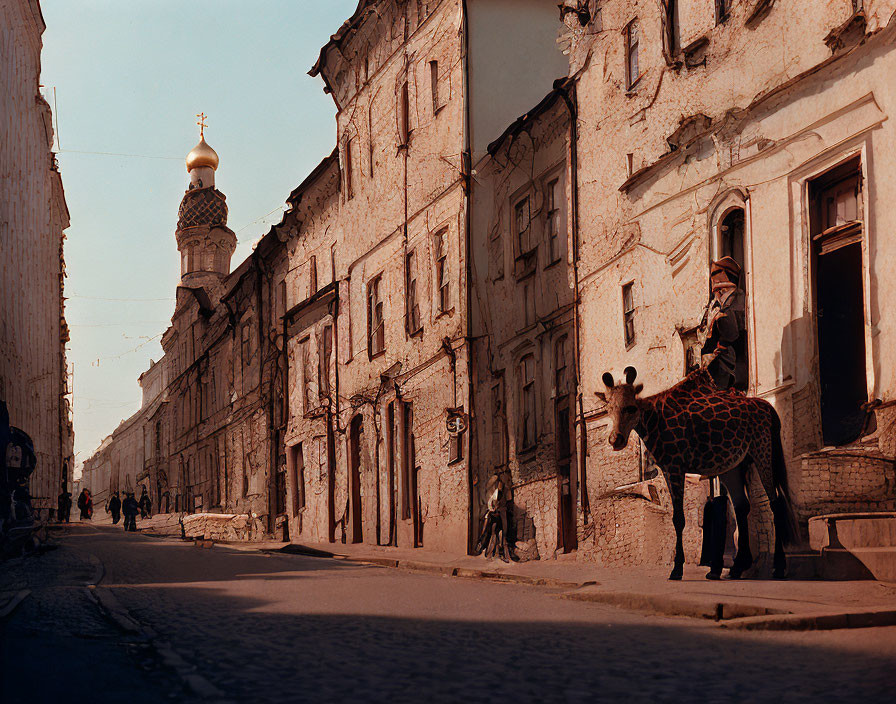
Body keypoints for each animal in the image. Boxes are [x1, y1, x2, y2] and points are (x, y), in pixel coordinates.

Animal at [596, 366, 792, 580]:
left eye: (631, 408)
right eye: (608, 409)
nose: (616, 440)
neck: (653, 422)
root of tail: (769, 408)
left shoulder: (675, 467)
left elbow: (679, 518)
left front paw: (676, 569)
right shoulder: (669, 470)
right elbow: (680, 516)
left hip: (763, 448)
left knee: (775, 502)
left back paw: (778, 567)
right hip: (738, 463)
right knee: (743, 506)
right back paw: (737, 567)